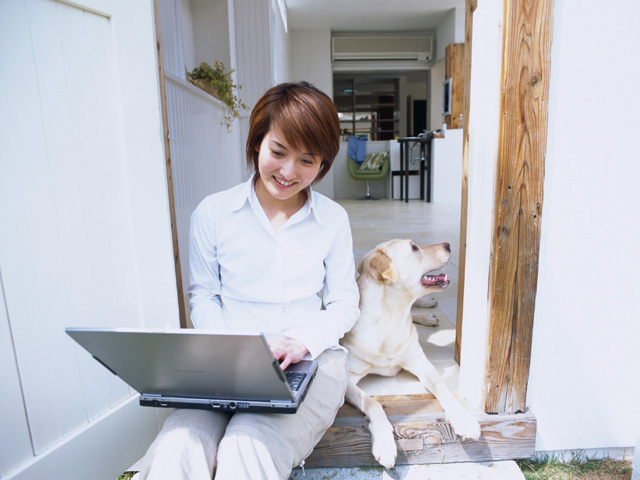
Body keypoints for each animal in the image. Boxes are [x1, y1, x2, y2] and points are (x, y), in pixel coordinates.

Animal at [340, 240, 480, 468]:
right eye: (414, 248)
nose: (448, 244)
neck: (393, 318)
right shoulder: (347, 379)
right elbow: (373, 402)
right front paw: (385, 445)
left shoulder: (421, 363)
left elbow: (443, 388)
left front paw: (464, 419)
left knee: (415, 309)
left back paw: (427, 310)